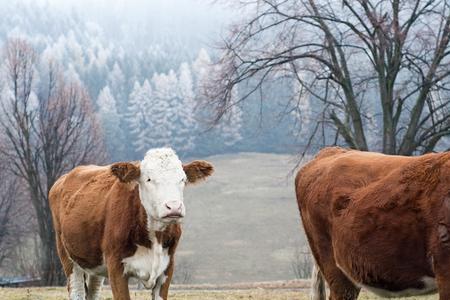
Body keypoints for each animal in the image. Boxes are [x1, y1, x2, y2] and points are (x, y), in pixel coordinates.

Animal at [48, 148, 214, 300]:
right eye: (148, 179)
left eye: (182, 179)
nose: (173, 207)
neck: (154, 237)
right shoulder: (115, 267)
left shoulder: (167, 267)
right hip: (67, 256)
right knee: (76, 291)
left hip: (94, 261)